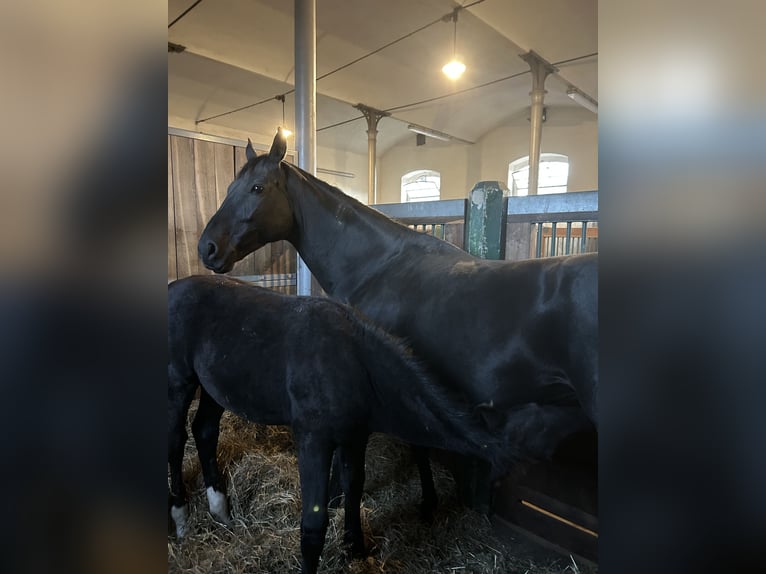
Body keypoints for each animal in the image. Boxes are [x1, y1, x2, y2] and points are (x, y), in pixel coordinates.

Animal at [168, 275, 590, 574]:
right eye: (545, 426)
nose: (582, 408)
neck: (355, 361)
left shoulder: (354, 436)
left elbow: (354, 488)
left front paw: (356, 549)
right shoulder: (313, 438)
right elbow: (313, 522)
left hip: (214, 388)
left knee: (205, 431)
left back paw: (221, 511)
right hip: (180, 380)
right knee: (175, 439)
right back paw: (181, 518)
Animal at [198, 128, 598, 509]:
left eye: (257, 187)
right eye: (231, 187)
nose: (207, 248)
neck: (376, 267)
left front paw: (336, 499)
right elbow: (419, 444)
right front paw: (428, 500)